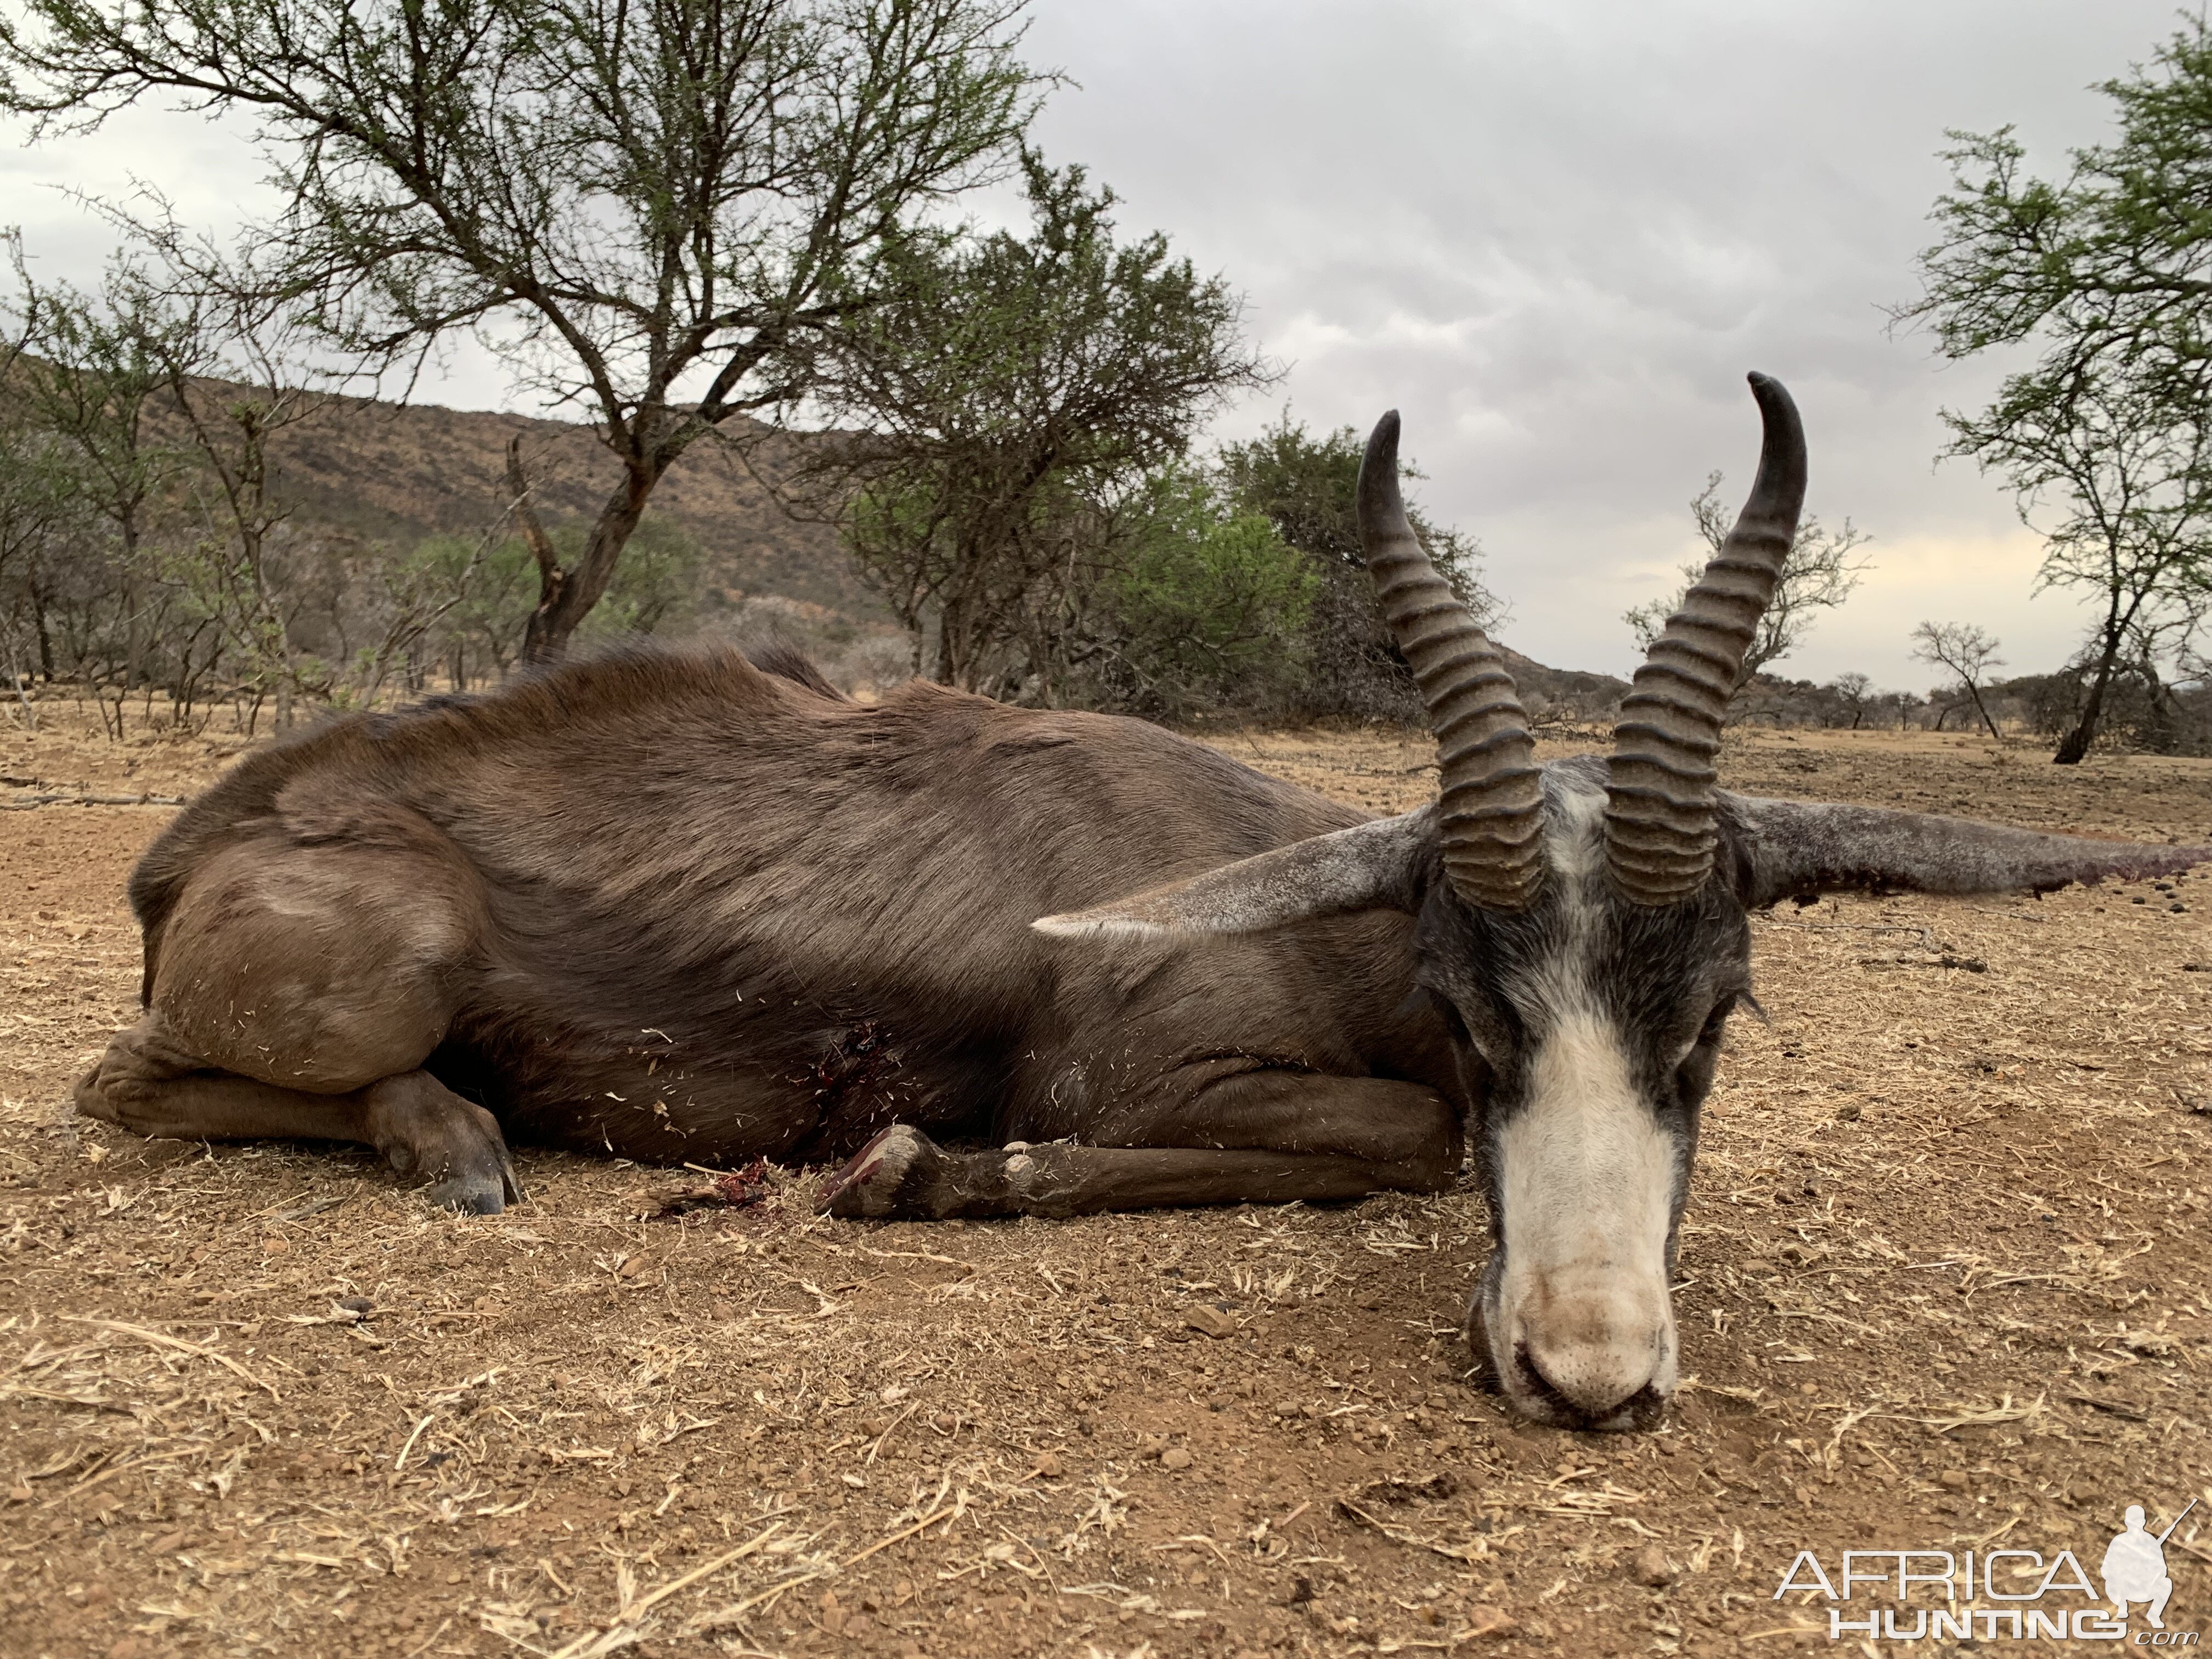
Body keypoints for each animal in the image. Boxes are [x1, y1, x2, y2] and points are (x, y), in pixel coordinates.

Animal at [78, 376, 2203, 1433]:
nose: (1590, 1378)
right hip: (385, 972)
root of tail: (198, 835)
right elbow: (1402, 1139)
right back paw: (460, 1140)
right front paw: (914, 1168)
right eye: (1480, 1004)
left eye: (1714, 1015)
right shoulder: (1163, 1088)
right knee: (121, 1087)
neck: (1312, 911)